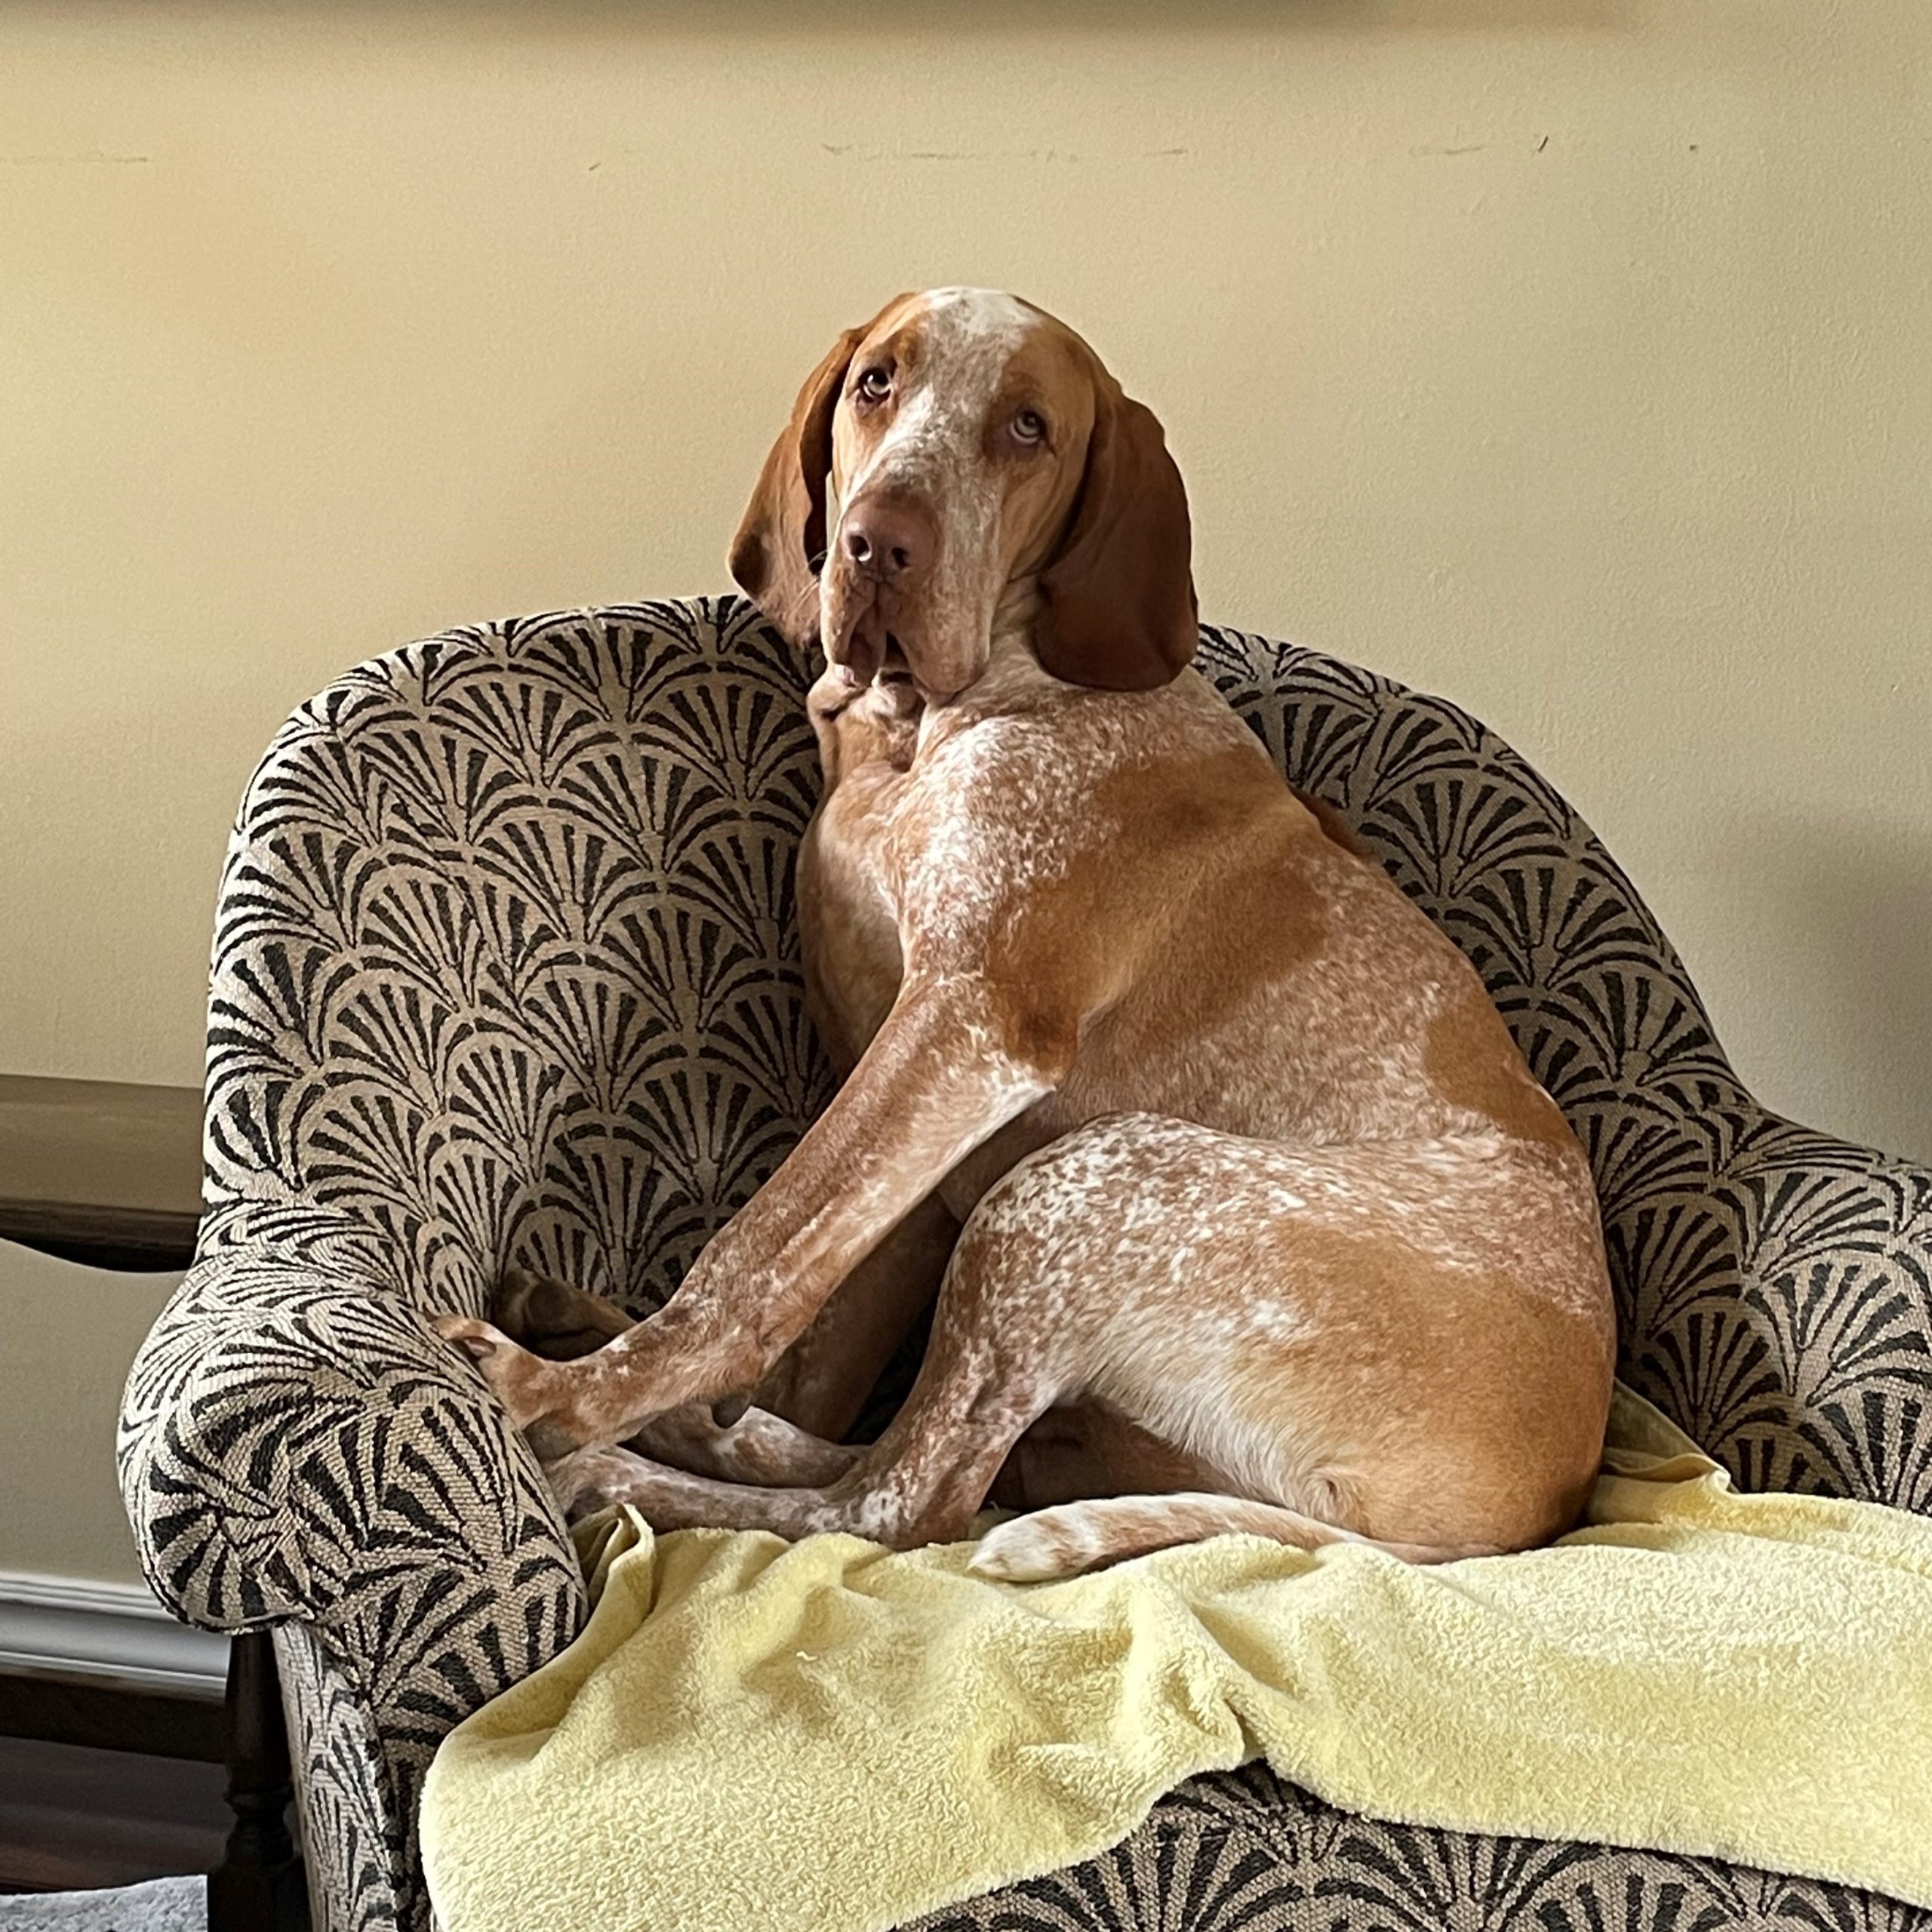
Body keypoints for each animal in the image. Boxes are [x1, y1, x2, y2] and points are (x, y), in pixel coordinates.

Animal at [435, 287, 1615, 1582]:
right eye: (878, 381)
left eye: (1028, 427)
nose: (878, 544)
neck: (921, 725)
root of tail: (1540, 1508)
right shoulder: (901, 1095)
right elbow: (814, 1344)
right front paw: (648, 1383)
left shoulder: (970, 1028)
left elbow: (753, 1256)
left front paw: (572, 1398)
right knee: (878, 1456)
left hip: (1088, 1183)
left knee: (908, 1505)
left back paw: (607, 1458)